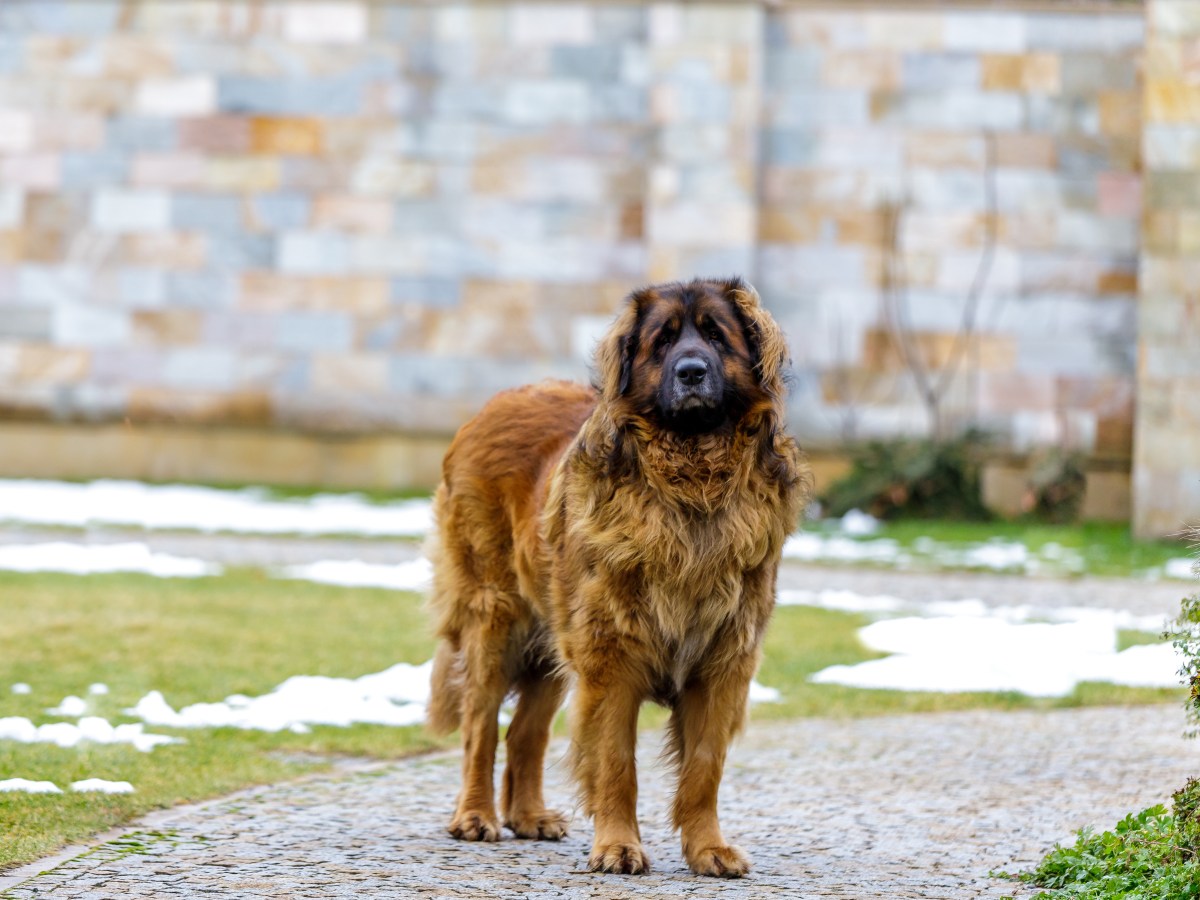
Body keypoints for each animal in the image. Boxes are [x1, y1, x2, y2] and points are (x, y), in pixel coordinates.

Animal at [427, 278, 811, 878]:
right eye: (663, 341)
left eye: (716, 336)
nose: (691, 372)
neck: (691, 479)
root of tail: (497, 401)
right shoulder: (610, 656)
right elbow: (615, 763)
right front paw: (617, 847)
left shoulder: (724, 661)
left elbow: (704, 767)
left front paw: (709, 849)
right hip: (496, 617)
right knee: (481, 725)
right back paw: (475, 816)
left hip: (553, 637)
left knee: (525, 731)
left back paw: (529, 816)